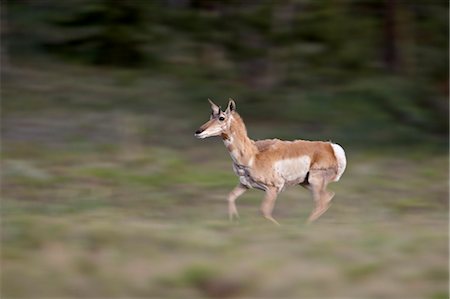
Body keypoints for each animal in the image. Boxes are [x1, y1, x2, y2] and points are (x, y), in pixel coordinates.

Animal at [194, 99, 348, 225]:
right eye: (211, 116)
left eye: (221, 117)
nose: (198, 131)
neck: (253, 154)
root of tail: (330, 147)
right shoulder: (245, 184)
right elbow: (230, 197)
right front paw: (234, 221)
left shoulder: (273, 189)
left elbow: (264, 211)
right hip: (306, 183)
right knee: (327, 197)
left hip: (315, 181)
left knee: (321, 202)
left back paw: (304, 225)